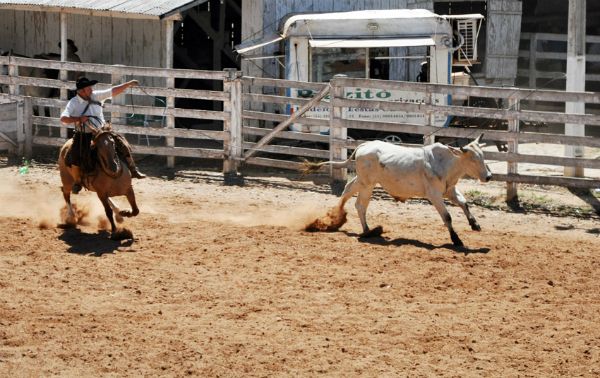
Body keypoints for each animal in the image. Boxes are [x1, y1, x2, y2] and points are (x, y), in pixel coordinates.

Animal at [308, 134, 490, 247]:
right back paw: (351, 224)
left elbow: (464, 203)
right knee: (358, 202)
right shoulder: (434, 195)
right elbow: (447, 217)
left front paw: (475, 224)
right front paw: (456, 239)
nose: (488, 176)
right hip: (367, 183)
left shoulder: (449, 190)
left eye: (482, 156)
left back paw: (359, 226)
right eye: (473, 159)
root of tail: (365, 144)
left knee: (350, 193)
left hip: (364, 181)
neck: (445, 163)